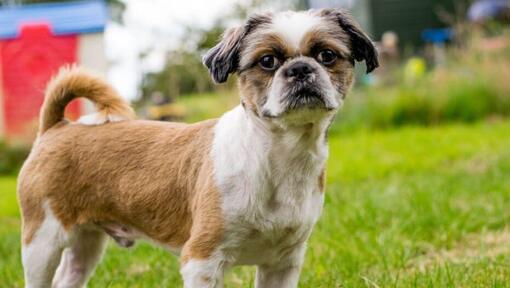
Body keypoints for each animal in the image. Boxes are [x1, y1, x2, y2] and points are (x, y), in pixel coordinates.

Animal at [17, 8, 376, 288]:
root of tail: (57, 127)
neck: (276, 157)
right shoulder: (202, 260)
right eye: (267, 61)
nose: (300, 68)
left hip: (86, 243)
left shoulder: (283, 263)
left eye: (327, 55)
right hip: (42, 240)